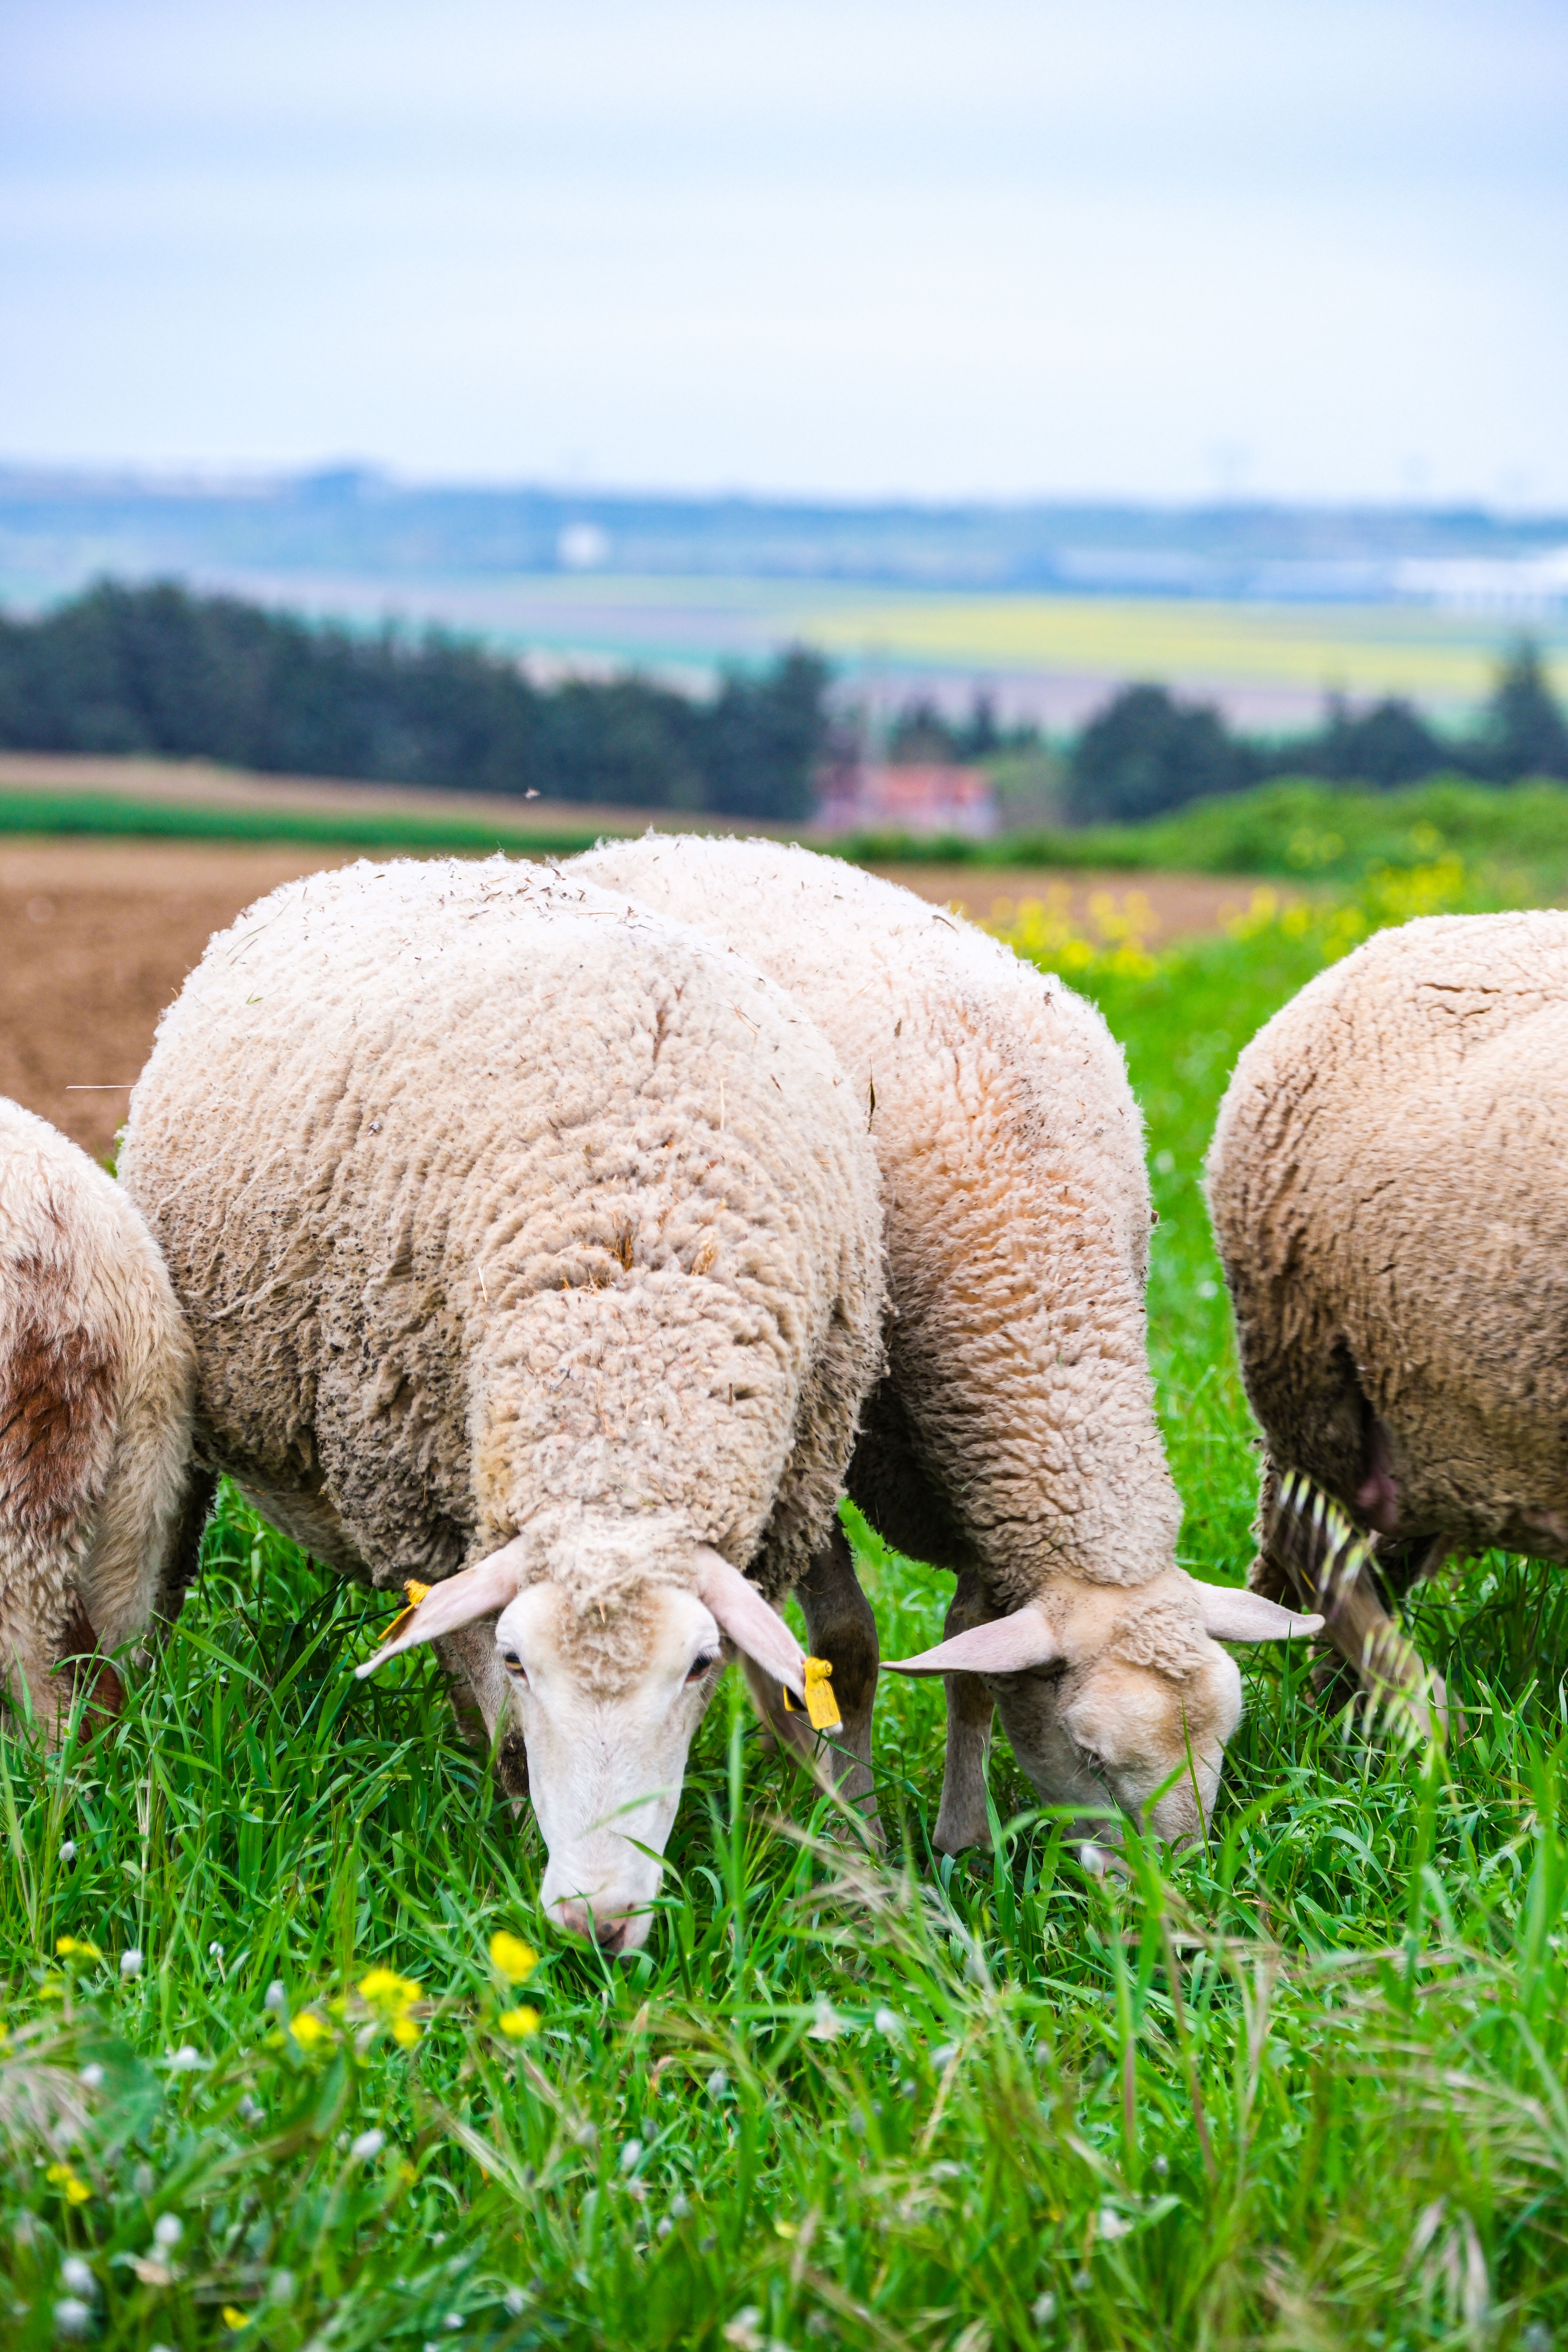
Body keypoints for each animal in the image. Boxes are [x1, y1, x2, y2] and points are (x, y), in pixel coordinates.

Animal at [570, 836, 1319, 1849]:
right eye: (1091, 1753)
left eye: (1225, 1739)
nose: (1178, 1891)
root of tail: (650, 839)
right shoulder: (825, 1431)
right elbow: (847, 1647)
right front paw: (858, 1835)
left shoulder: (979, 1463)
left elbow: (972, 1652)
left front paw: (961, 1839)